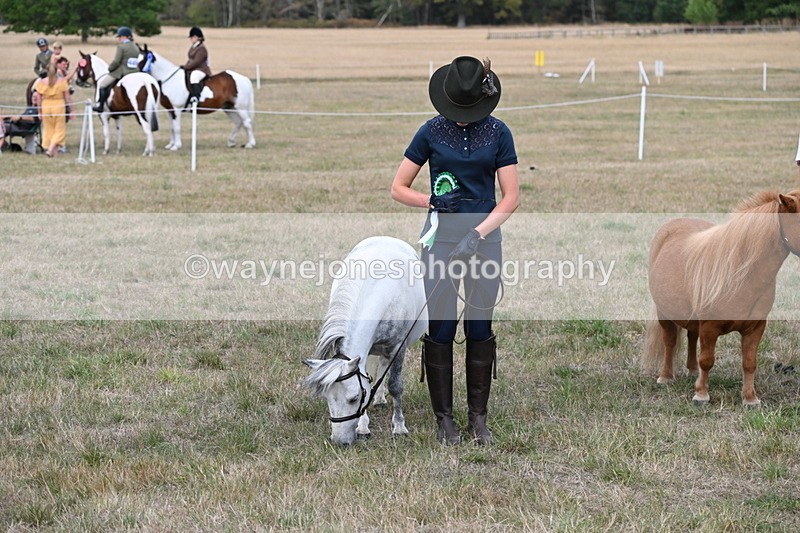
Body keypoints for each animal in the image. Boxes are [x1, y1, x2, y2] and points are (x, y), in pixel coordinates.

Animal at [303, 236, 428, 446]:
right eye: (327, 398)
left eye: (354, 398)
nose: (340, 442)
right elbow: (367, 379)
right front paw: (363, 427)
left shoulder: (397, 347)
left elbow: (395, 386)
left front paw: (399, 427)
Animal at [642, 190, 800, 406]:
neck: (739, 274)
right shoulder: (710, 327)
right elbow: (707, 360)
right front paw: (701, 395)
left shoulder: (756, 327)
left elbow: (749, 362)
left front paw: (750, 399)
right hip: (664, 313)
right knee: (670, 341)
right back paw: (665, 377)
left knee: (692, 336)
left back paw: (692, 371)